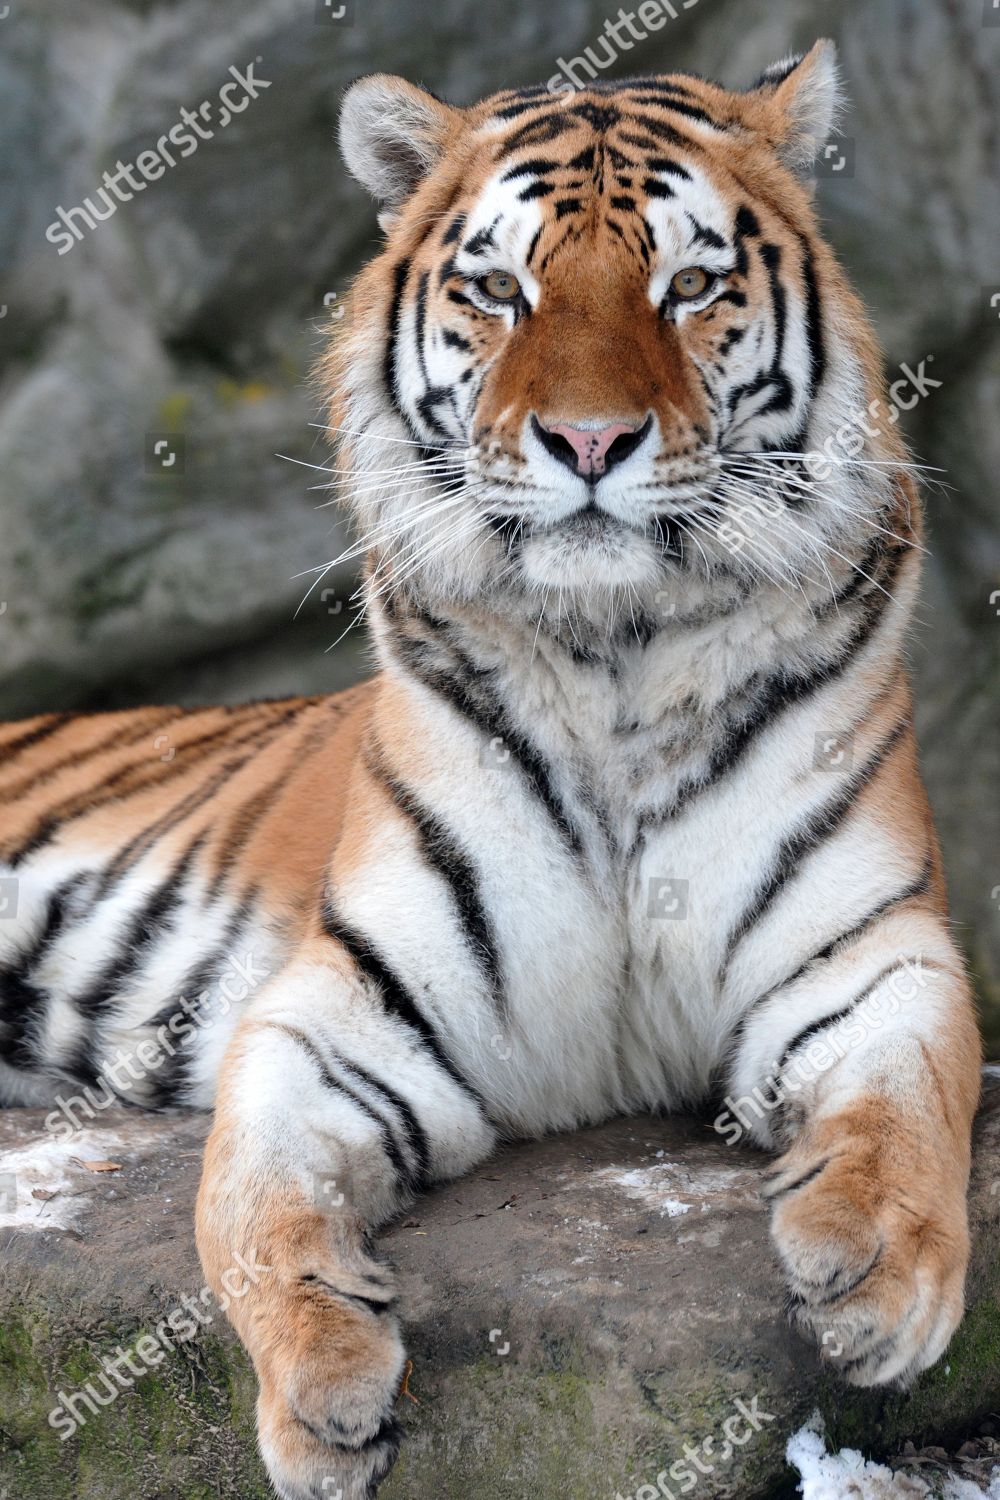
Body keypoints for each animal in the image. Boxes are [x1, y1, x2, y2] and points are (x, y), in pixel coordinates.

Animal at [0, 35, 983, 1500]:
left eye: (689, 285)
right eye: (497, 290)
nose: (587, 444)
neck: (619, 656)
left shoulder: (869, 949)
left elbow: (914, 1093)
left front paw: (877, 1274)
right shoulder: (346, 1008)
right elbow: (245, 1198)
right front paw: (321, 1391)